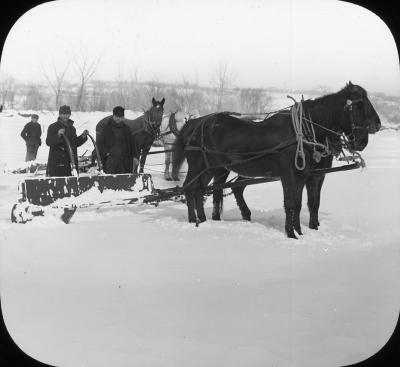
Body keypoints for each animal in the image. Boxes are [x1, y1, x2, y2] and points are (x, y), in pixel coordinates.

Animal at [172, 82, 382, 240]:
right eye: (360, 105)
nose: (376, 127)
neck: (302, 132)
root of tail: (194, 123)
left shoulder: (304, 176)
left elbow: (301, 204)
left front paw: (300, 231)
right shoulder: (288, 175)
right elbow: (290, 204)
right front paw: (291, 234)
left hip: (210, 168)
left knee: (201, 190)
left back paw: (203, 219)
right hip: (198, 165)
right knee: (190, 189)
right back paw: (194, 221)